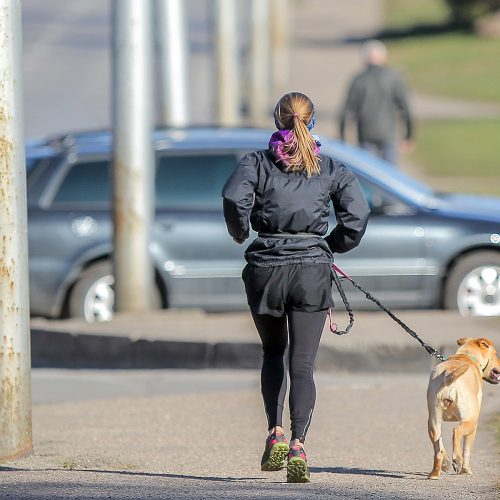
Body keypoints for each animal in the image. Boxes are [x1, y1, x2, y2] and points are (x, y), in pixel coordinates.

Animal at [426, 338, 500, 478]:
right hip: (470, 421)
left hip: (433, 421)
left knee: (438, 448)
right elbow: (467, 449)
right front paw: (466, 470)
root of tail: (448, 374)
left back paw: (436, 472)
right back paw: (457, 460)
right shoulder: (473, 426)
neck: (466, 356)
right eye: (496, 354)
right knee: (456, 431)